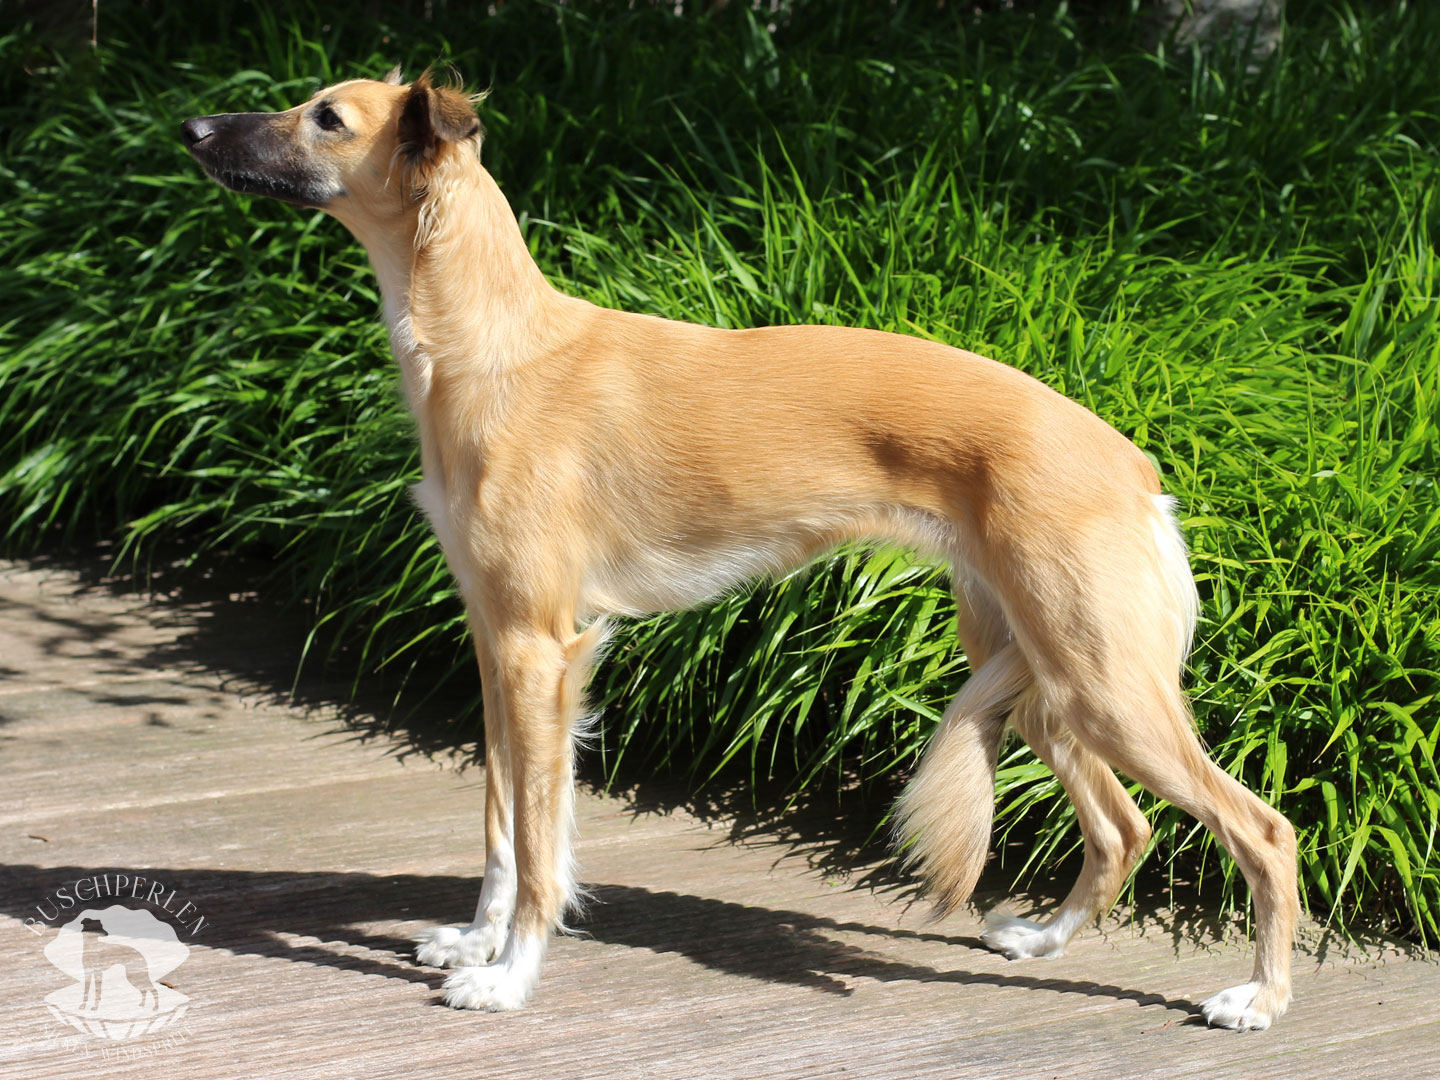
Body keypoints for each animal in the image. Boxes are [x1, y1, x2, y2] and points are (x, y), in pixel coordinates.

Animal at [181, 67, 1298, 1029]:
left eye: (326, 118)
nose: (190, 128)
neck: (501, 349)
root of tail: (1133, 465)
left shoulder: (542, 649)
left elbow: (539, 844)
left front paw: (509, 979)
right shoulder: (499, 642)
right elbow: (503, 825)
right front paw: (475, 942)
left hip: (1104, 681)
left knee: (1265, 831)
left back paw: (1258, 999)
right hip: (1040, 674)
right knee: (1123, 827)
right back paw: (1042, 940)